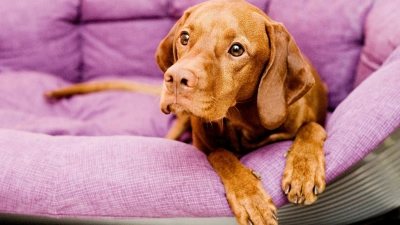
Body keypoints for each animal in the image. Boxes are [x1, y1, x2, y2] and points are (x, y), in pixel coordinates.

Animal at [47, 0, 328, 224]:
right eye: (184, 38)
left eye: (237, 49)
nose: (175, 79)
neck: (245, 122)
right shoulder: (204, 143)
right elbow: (221, 154)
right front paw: (250, 197)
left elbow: (312, 127)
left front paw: (304, 170)